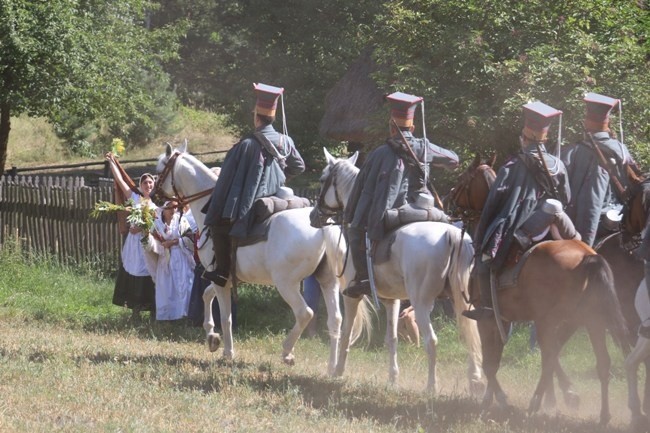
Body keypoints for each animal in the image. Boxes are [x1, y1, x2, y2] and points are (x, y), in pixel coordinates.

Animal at [151, 143, 364, 372]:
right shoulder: (223, 279)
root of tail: (322, 229)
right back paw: (332, 367)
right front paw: (212, 337)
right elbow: (206, 296)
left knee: (305, 313)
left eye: (160, 170)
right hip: (327, 281)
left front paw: (228, 351)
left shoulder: (219, 278)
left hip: (286, 284)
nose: (153, 196)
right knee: (336, 320)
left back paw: (287, 352)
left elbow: (225, 316)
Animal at [314, 148, 480, 392]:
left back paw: (431, 387)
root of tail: (451, 235)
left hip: (421, 303)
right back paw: (476, 382)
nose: (314, 216)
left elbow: (346, 332)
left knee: (431, 341)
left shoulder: (351, 296)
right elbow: (391, 338)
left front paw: (337, 371)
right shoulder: (392, 301)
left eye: (323, 179)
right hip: (462, 302)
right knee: (472, 336)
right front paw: (393, 379)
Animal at [446, 154, 628, 424]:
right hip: (589, 321)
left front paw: (499, 400)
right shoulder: (506, 319)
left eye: (464, 179)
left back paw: (535, 403)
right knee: (598, 362)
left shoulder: (488, 318)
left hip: (550, 320)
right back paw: (602, 415)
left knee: (550, 357)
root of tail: (588, 258)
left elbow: (491, 362)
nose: (449, 198)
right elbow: (498, 358)